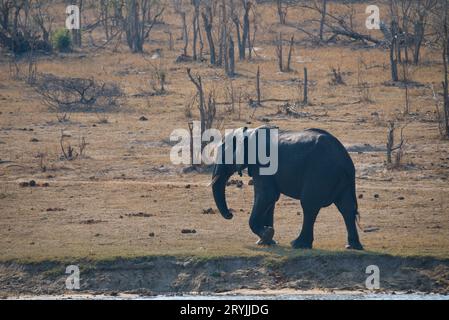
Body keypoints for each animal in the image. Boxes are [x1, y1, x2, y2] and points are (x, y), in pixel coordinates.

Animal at [211, 127, 364, 250]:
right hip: (342, 180)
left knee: (309, 206)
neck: (249, 132)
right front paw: (266, 241)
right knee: (346, 208)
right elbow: (270, 200)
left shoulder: (262, 164)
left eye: (223, 155)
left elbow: (267, 195)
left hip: (320, 173)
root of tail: (345, 160)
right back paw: (352, 246)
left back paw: (298, 244)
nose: (230, 215)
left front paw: (267, 234)